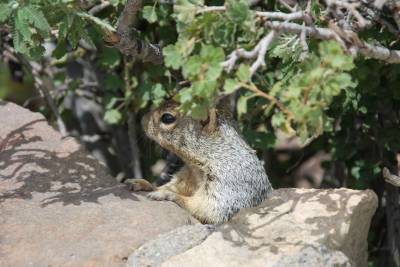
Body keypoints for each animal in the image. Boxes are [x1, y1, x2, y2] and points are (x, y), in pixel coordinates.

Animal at [126, 101, 274, 225]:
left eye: (167, 118)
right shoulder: (186, 177)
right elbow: (170, 186)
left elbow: (210, 209)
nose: (142, 119)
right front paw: (143, 184)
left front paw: (167, 195)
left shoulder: (229, 183)